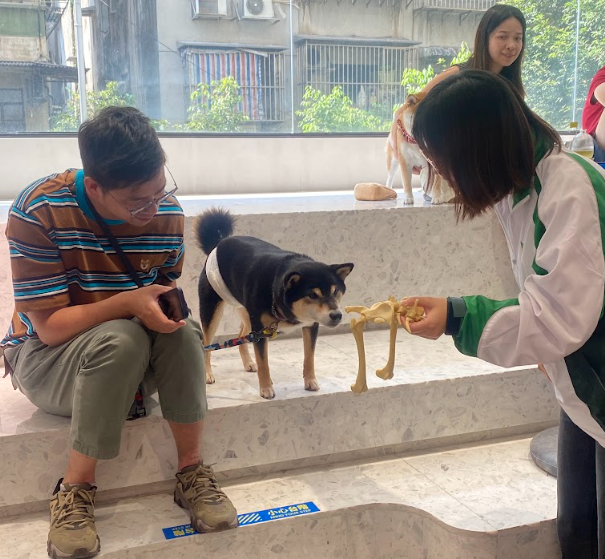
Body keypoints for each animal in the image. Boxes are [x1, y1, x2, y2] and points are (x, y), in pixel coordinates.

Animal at [196, 208, 354, 400]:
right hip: (213, 309)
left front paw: (310, 381)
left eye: (335, 291)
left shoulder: (310, 325)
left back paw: (248, 362)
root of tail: (217, 244)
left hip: (246, 310)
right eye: (312, 295)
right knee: (206, 344)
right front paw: (266, 389)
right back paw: (207, 373)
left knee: (242, 333)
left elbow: (309, 357)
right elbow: (264, 362)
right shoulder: (259, 330)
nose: (336, 315)